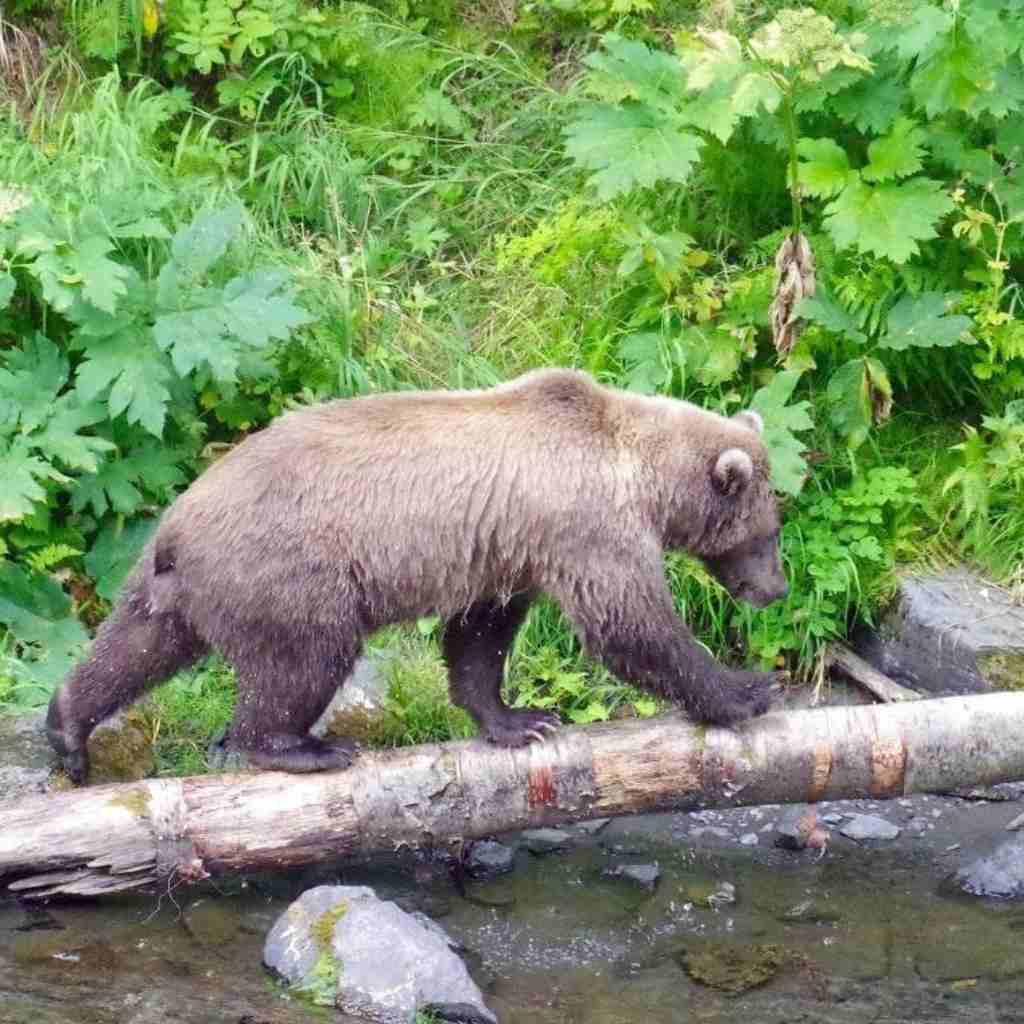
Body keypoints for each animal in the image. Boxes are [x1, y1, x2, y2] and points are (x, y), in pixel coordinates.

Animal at [46, 372, 782, 778]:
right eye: (769, 532)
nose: (775, 589)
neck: (636, 468)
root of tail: (177, 521)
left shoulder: (507, 548)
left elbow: (480, 637)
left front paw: (519, 720)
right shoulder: (584, 527)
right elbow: (630, 624)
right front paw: (746, 690)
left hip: (178, 584)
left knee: (135, 645)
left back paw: (67, 729)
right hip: (288, 572)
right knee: (305, 659)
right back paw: (299, 747)